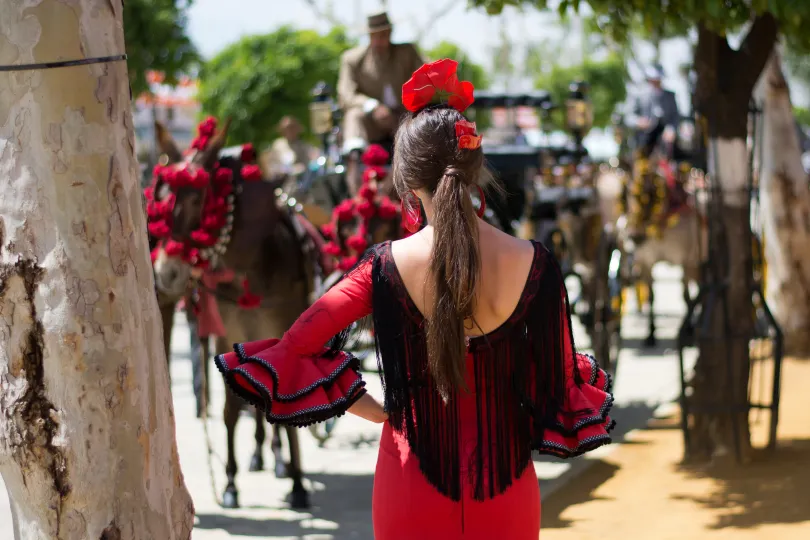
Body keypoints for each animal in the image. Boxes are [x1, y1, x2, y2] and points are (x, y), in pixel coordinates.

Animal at [148, 119, 316, 510]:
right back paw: (259, 455)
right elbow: (228, 410)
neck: (249, 273)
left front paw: (298, 485)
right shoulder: (227, 336)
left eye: (198, 199)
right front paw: (229, 484)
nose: (166, 273)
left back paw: (280, 461)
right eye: (159, 199)